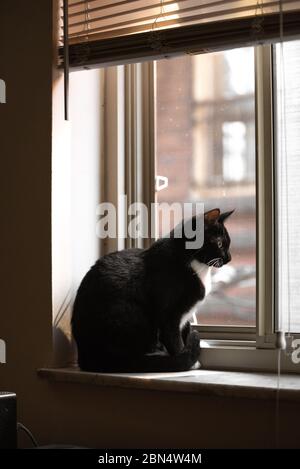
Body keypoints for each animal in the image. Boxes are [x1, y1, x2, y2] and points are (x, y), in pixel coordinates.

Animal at [71, 208, 233, 372]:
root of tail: (86, 357)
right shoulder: (169, 313)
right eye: (220, 244)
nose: (229, 258)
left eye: (228, 244)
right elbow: (174, 339)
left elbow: (185, 329)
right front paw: (187, 359)